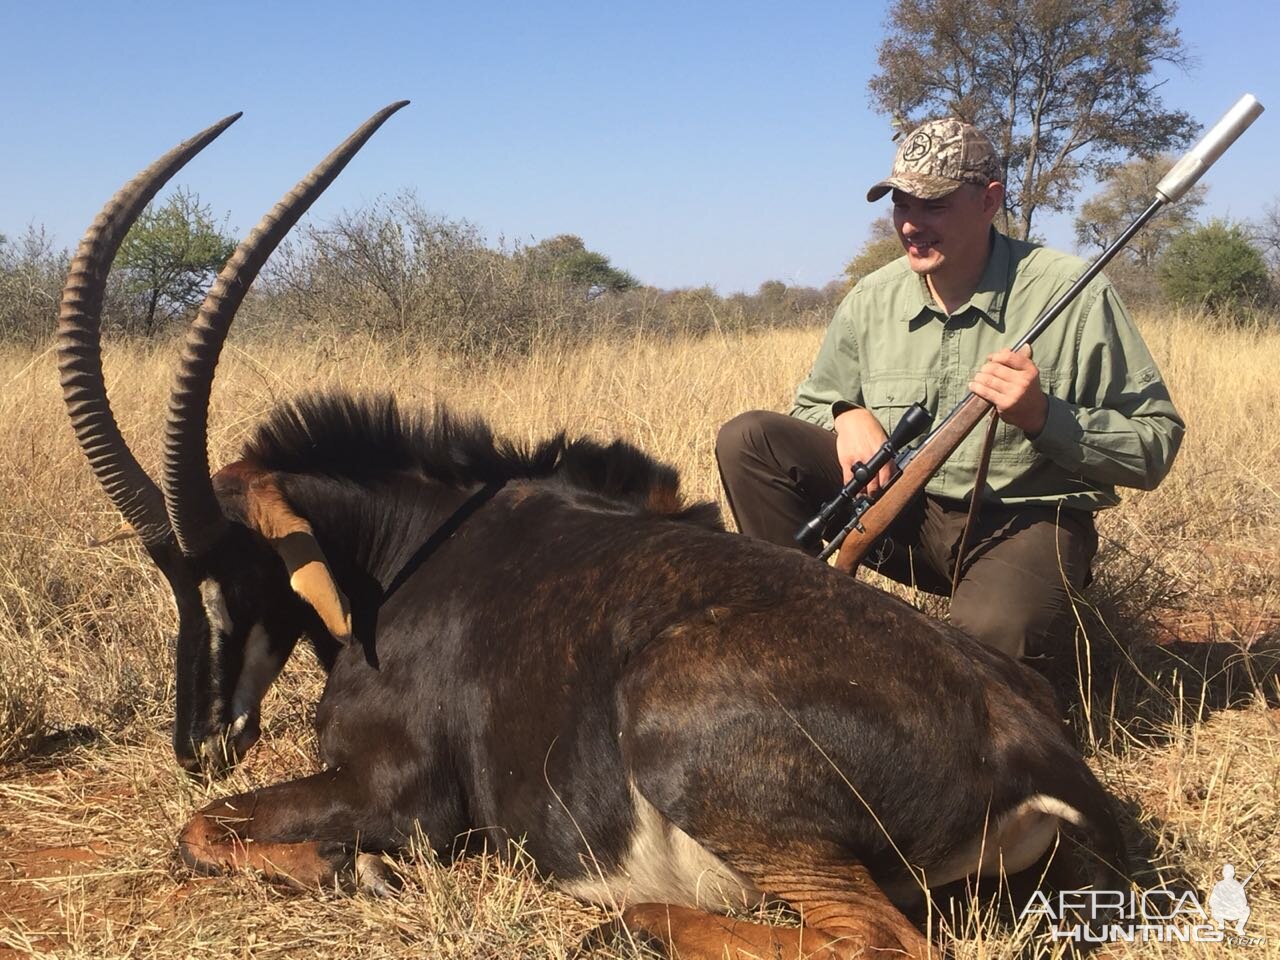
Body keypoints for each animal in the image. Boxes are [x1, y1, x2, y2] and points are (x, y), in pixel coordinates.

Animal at [60, 101, 1126, 957]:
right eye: (168, 575)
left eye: (234, 568)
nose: (196, 743)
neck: (408, 554)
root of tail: (1028, 740)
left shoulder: (402, 791)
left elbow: (198, 830)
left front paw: (348, 866)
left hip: (685, 743)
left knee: (881, 942)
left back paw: (627, 918)